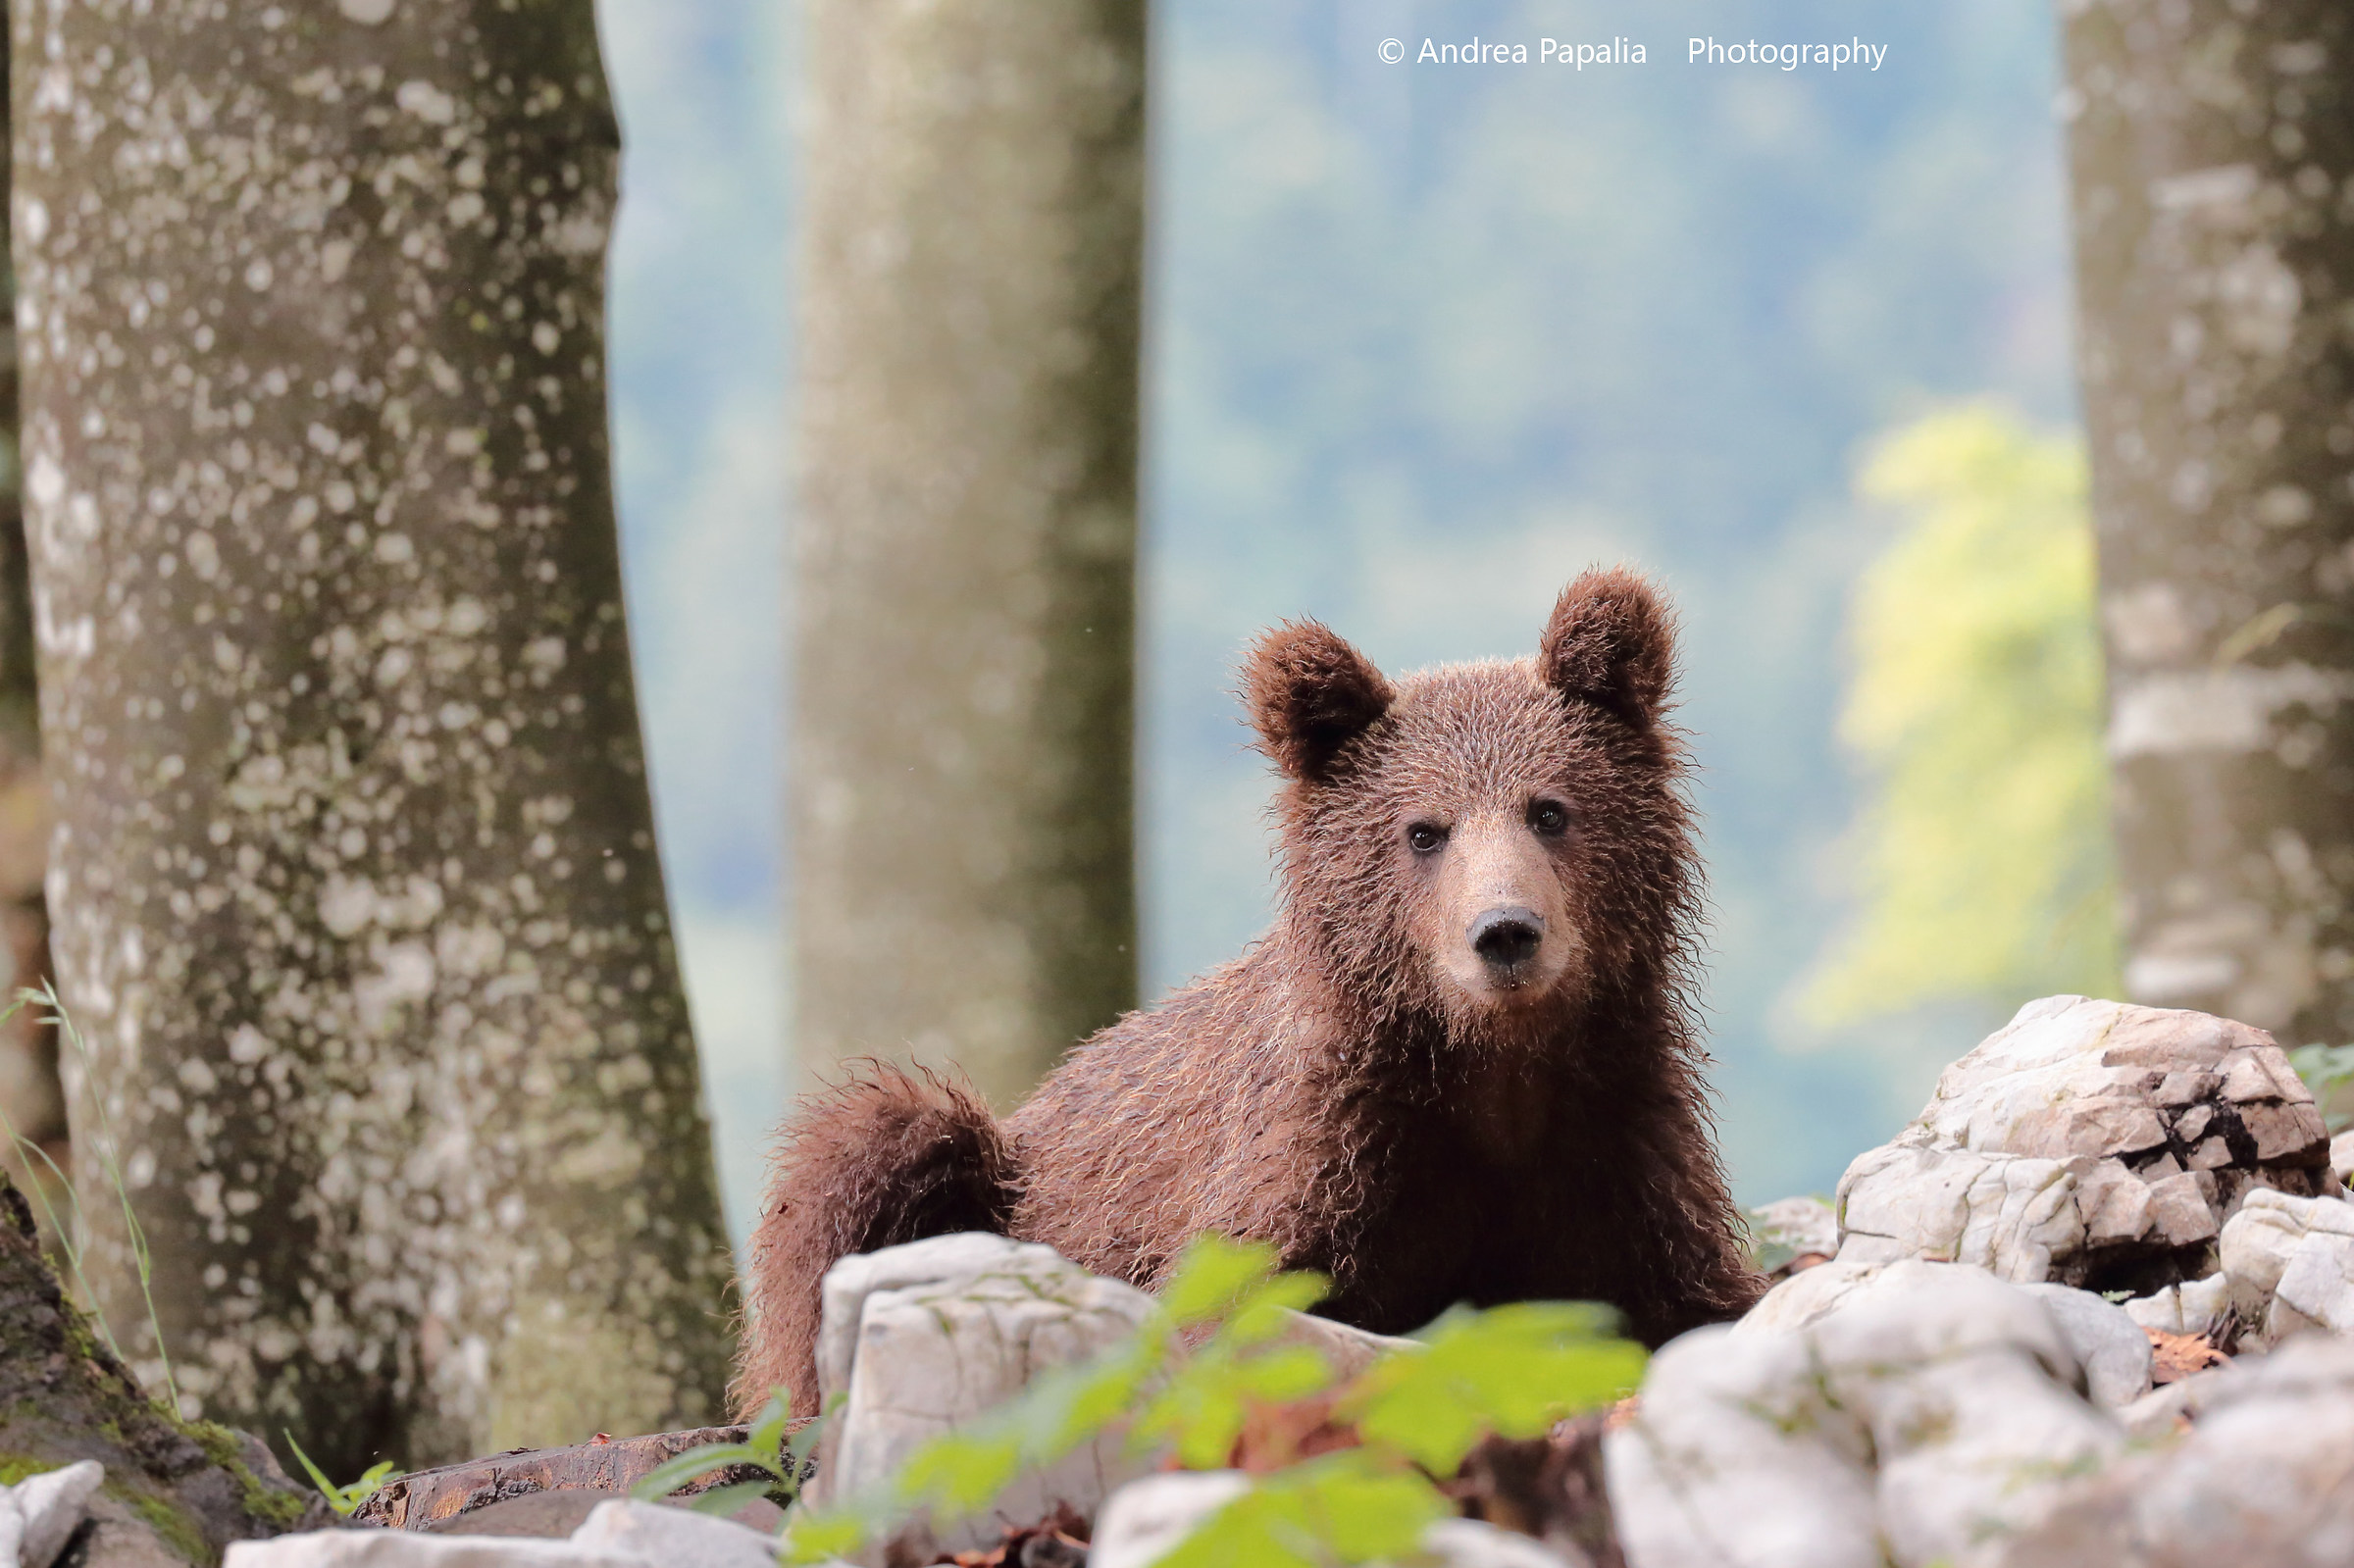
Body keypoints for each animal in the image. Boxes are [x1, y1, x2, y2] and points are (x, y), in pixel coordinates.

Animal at [735, 567, 1764, 1417]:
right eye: (1423, 830)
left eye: (1550, 809)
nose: (1505, 931)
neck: (1490, 1074)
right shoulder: (1318, 1154)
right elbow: (1236, 1309)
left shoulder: (1613, 1142)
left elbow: (1700, 1303)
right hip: (987, 1176)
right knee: (871, 1156)